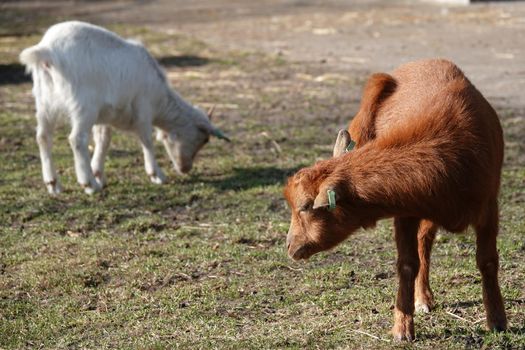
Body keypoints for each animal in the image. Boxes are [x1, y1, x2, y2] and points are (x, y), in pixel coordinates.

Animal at [19, 20, 228, 196]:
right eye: (204, 140)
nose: (186, 169)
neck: (160, 100)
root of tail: (47, 50)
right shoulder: (143, 109)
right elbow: (147, 140)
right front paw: (156, 174)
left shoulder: (103, 117)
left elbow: (104, 140)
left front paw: (98, 173)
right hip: (83, 105)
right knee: (77, 139)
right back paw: (88, 184)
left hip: (44, 102)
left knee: (43, 137)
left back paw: (53, 184)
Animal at [284, 58, 506, 340]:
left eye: (304, 207)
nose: (289, 246)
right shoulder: (406, 211)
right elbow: (407, 264)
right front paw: (403, 328)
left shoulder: (488, 207)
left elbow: (487, 261)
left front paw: (497, 321)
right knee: (424, 244)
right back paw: (423, 299)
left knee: (426, 241)